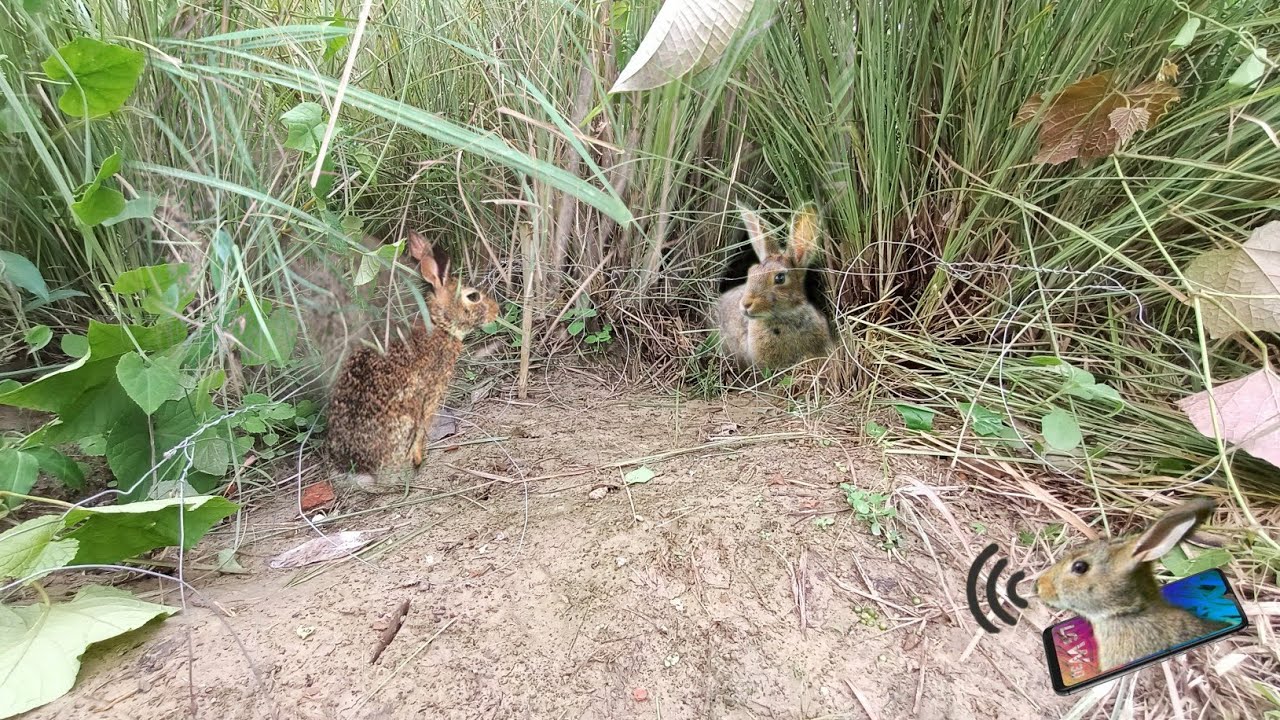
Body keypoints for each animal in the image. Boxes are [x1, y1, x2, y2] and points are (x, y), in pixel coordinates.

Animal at [325, 231, 499, 493]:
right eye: (473, 297)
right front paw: (421, 457)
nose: (497, 311)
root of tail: (361, 470)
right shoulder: (432, 393)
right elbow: (424, 430)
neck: (439, 324)